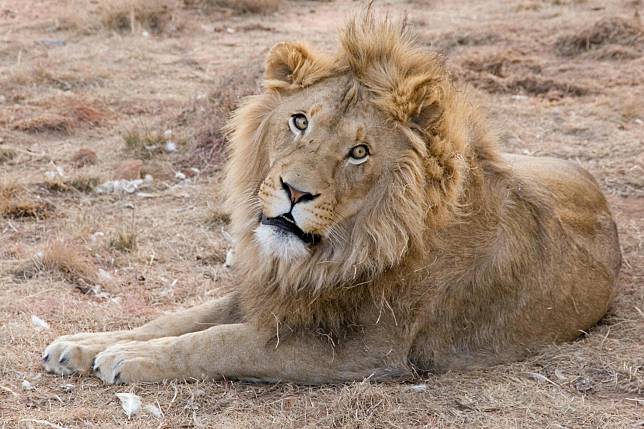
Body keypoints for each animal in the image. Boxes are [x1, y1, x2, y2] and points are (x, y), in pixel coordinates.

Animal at [40, 14, 620, 384]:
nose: (294, 191)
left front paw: (126, 358)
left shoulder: (362, 353)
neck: (338, 251)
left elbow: (224, 340)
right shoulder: (273, 291)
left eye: (359, 152)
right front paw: (83, 344)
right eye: (300, 122)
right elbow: (178, 319)